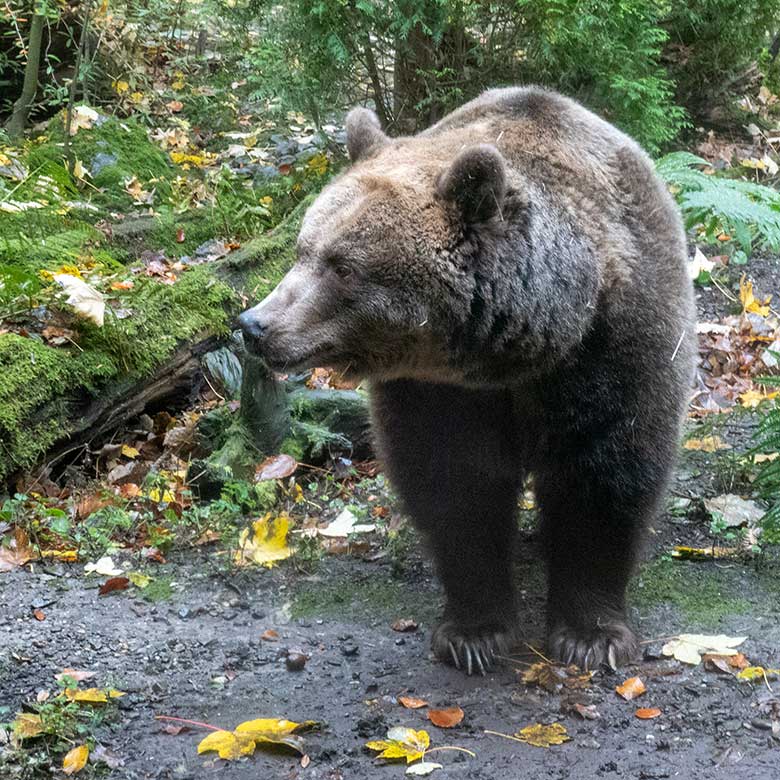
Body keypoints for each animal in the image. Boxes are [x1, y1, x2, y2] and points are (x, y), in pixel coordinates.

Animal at [238, 84, 696, 672]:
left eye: (343, 267)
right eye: (303, 248)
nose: (256, 325)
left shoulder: (614, 348)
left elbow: (605, 474)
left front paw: (590, 635)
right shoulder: (438, 392)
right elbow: (456, 487)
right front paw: (475, 632)